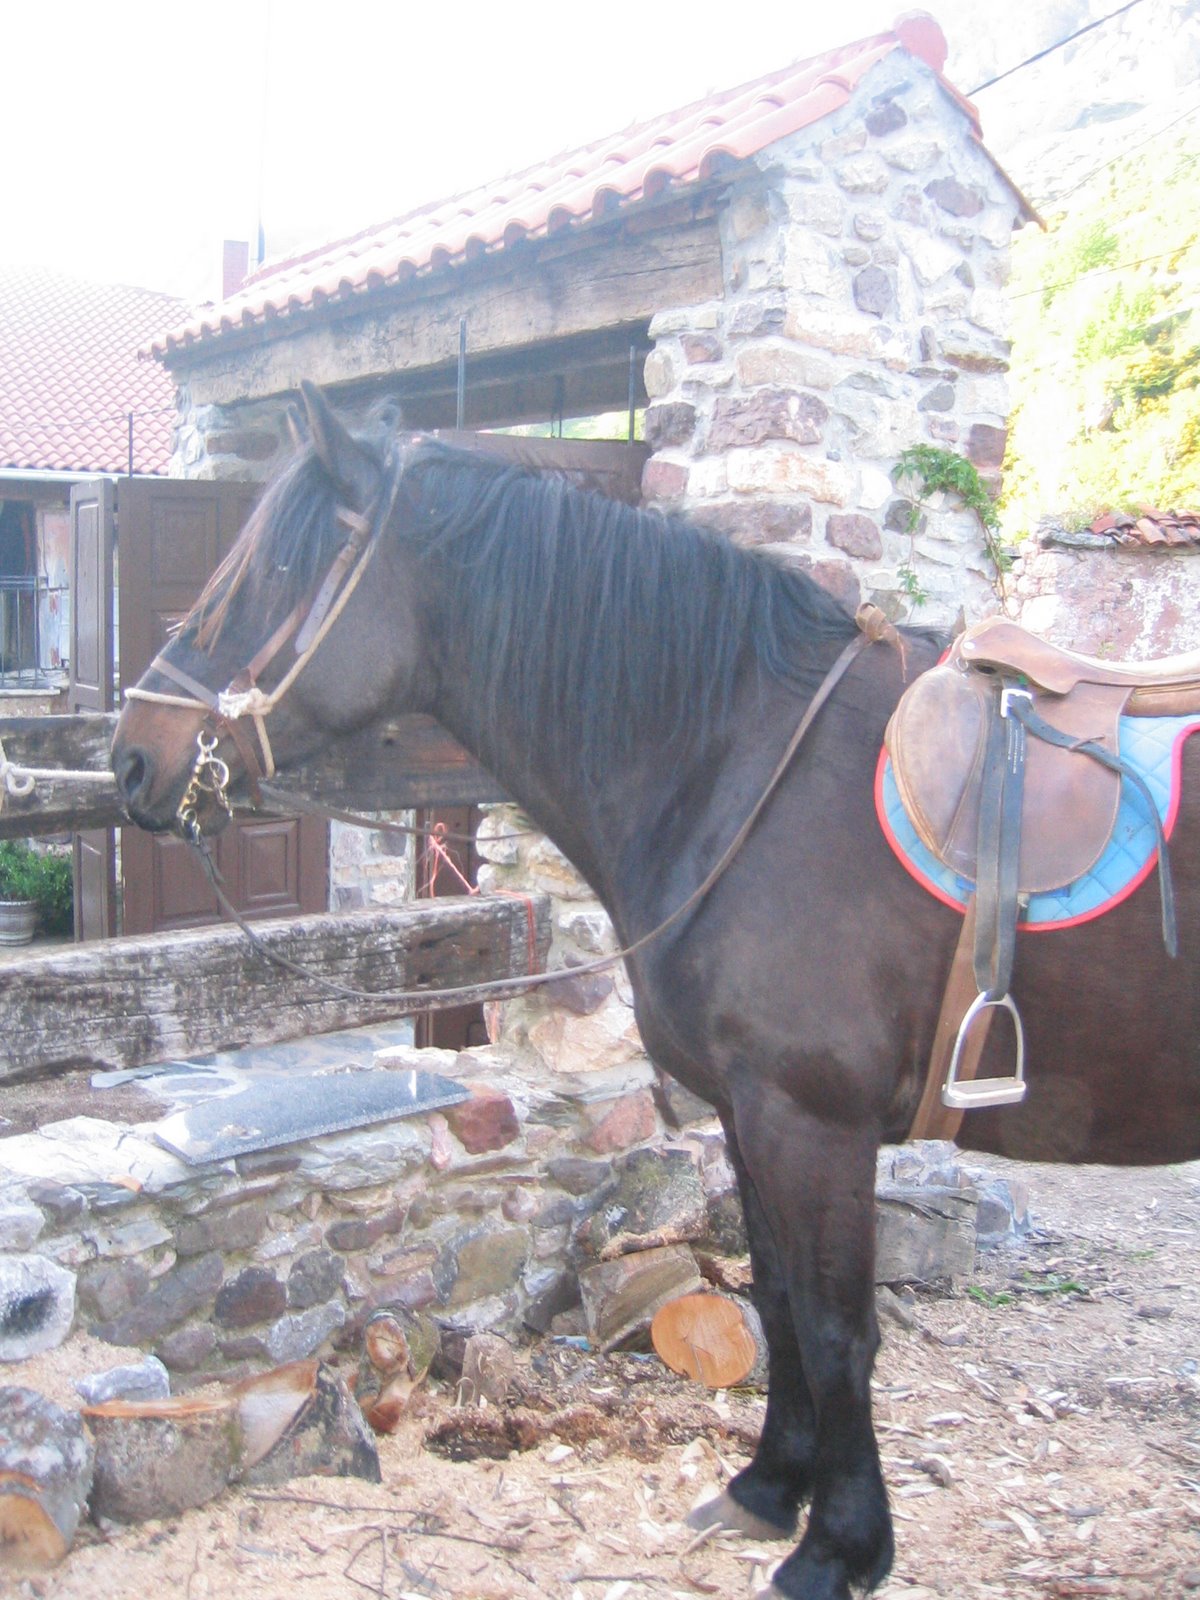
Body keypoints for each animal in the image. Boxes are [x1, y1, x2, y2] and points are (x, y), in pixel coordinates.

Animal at [111, 384, 1200, 1600]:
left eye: (277, 571)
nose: (132, 756)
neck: (747, 768)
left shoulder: (812, 1122)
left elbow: (837, 1329)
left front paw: (841, 1547)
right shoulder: (748, 1113)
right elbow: (774, 1299)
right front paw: (768, 1490)